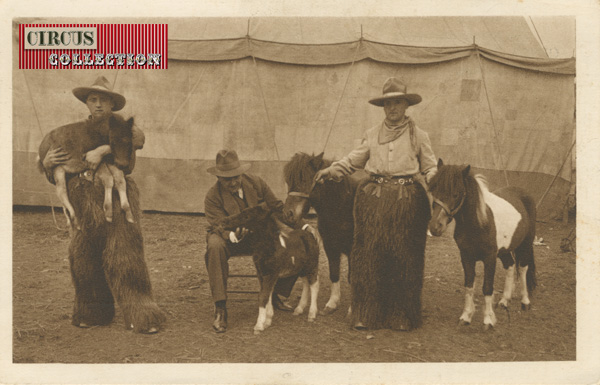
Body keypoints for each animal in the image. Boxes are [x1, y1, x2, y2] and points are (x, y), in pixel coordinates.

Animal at [282, 152, 360, 314]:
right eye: (288, 181)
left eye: (304, 179)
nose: (288, 214)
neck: (343, 209)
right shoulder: (330, 246)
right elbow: (334, 273)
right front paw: (332, 304)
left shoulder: (353, 250)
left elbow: (352, 277)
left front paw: (352, 309)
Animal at [428, 159, 536, 330]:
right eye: (434, 190)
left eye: (456, 194)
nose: (435, 227)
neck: (478, 223)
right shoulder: (466, 256)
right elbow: (469, 284)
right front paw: (466, 316)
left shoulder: (489, 258)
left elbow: (487, 287)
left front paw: (488, 320)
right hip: (505, 250)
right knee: (510, 266)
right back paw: (504, 301)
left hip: (525, 244)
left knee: (523, 268)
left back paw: (525, 302)